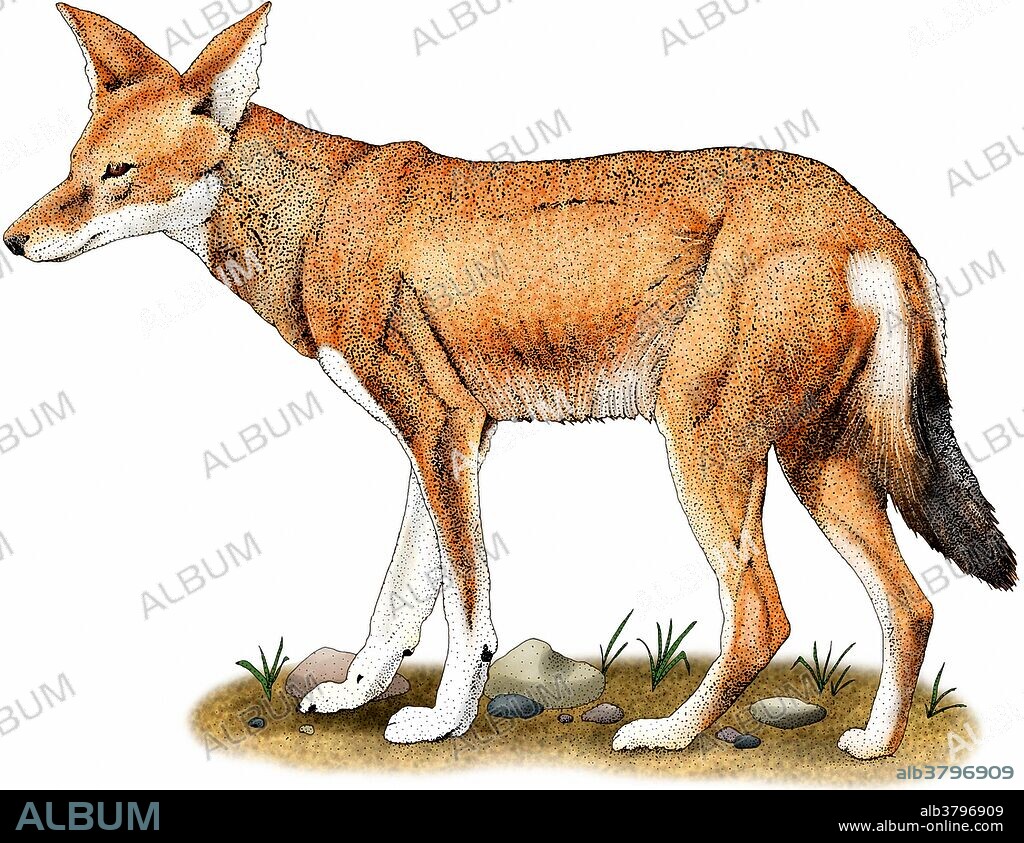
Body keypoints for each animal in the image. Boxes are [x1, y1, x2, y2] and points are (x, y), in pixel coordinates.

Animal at [5, 4, 1014, 758]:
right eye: (70, 168)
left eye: (116, 173)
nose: (14, 240)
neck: (317, 218)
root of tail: (874, 220)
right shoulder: (448, 439)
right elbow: (400, 599)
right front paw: (358, 694)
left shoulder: (440, 429)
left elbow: (467, 611)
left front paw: (442, 721)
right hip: (818, 468)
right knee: (912, 602)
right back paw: (876, 745)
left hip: (706, 454)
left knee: (765, 616)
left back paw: (668, 733)